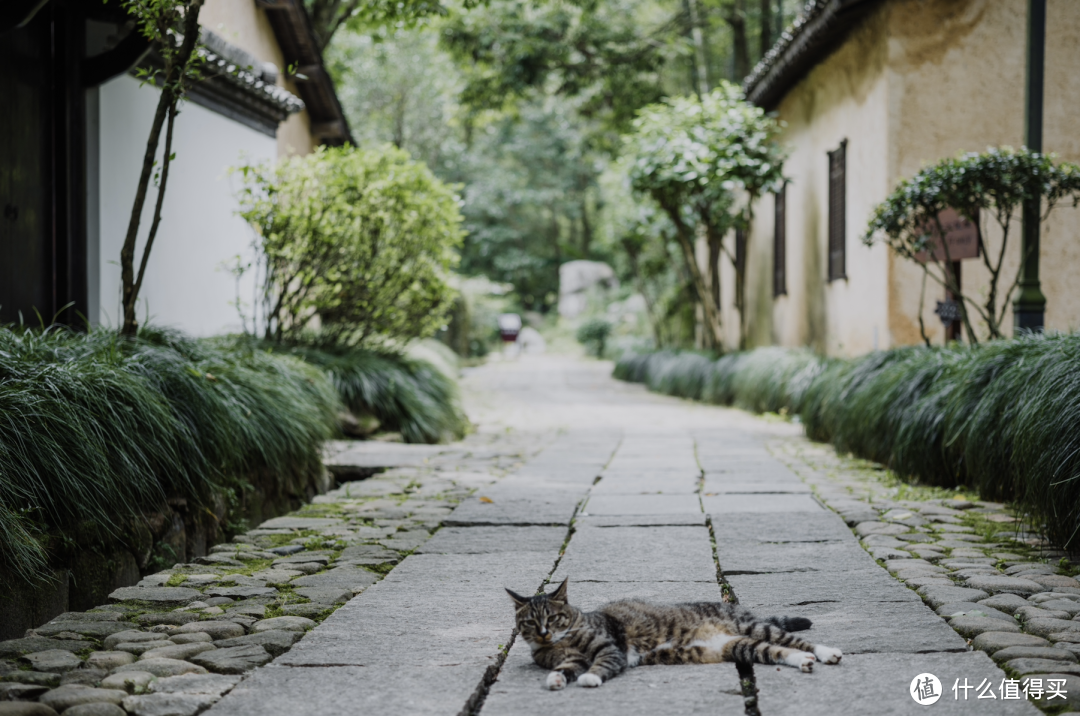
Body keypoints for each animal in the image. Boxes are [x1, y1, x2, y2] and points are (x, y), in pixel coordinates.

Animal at [505, 578, 842, 691]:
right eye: (530, 622)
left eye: (553, 618)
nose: (544, 633)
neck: (561, 643)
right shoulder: (571, 658)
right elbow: (566, 668)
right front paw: (556, 679)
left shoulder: (610, 648)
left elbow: (601, 664)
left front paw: (590, 678)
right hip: (742, 646)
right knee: (783, 651)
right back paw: (805, 661)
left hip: (753, 628)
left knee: (798, 641)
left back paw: (827, 653)